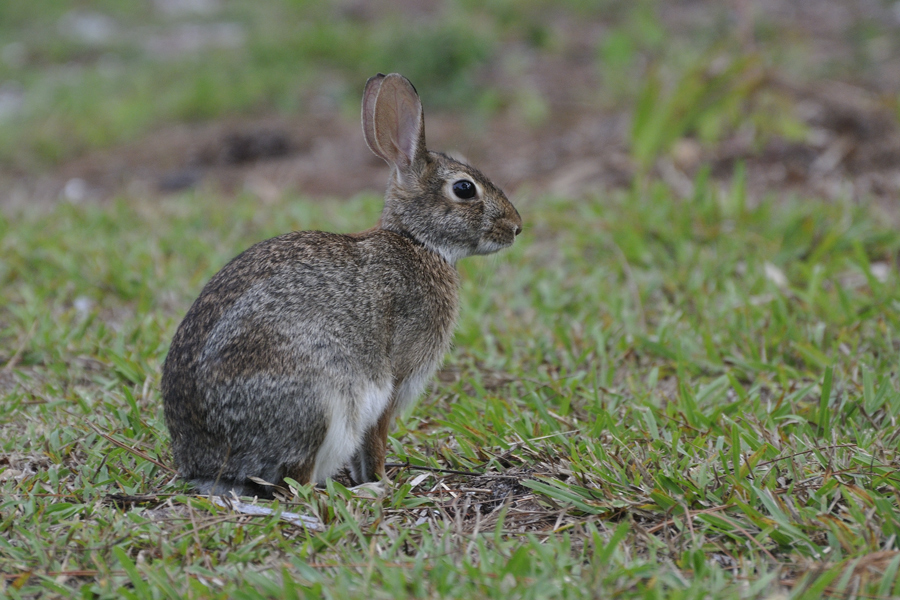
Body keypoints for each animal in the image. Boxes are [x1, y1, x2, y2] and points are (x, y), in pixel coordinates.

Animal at [162, 72, 520, 500]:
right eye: (464, 189)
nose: (516, 227)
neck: (418, 242)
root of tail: (204, 465)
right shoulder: (392, 380)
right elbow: (376, 438)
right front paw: (381, 481)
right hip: (320, 403)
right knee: (294, 485)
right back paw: (359, 493)